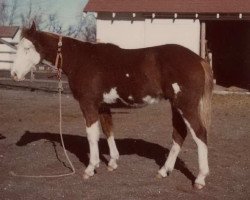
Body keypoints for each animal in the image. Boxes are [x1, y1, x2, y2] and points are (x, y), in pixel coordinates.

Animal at [11, 22, 213, 190]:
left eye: (27, 48)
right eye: (17, 47)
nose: (13, 74)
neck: (81, 59)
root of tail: (198, 59)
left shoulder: (88, 104)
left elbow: (92, 135)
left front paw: (91, 168)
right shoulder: (102, 106)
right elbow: (108, 130)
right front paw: (113, 162)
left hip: (186, 106)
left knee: (200, 134)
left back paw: (200, 179)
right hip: (176, 106)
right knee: (179, 134)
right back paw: (164, 171)